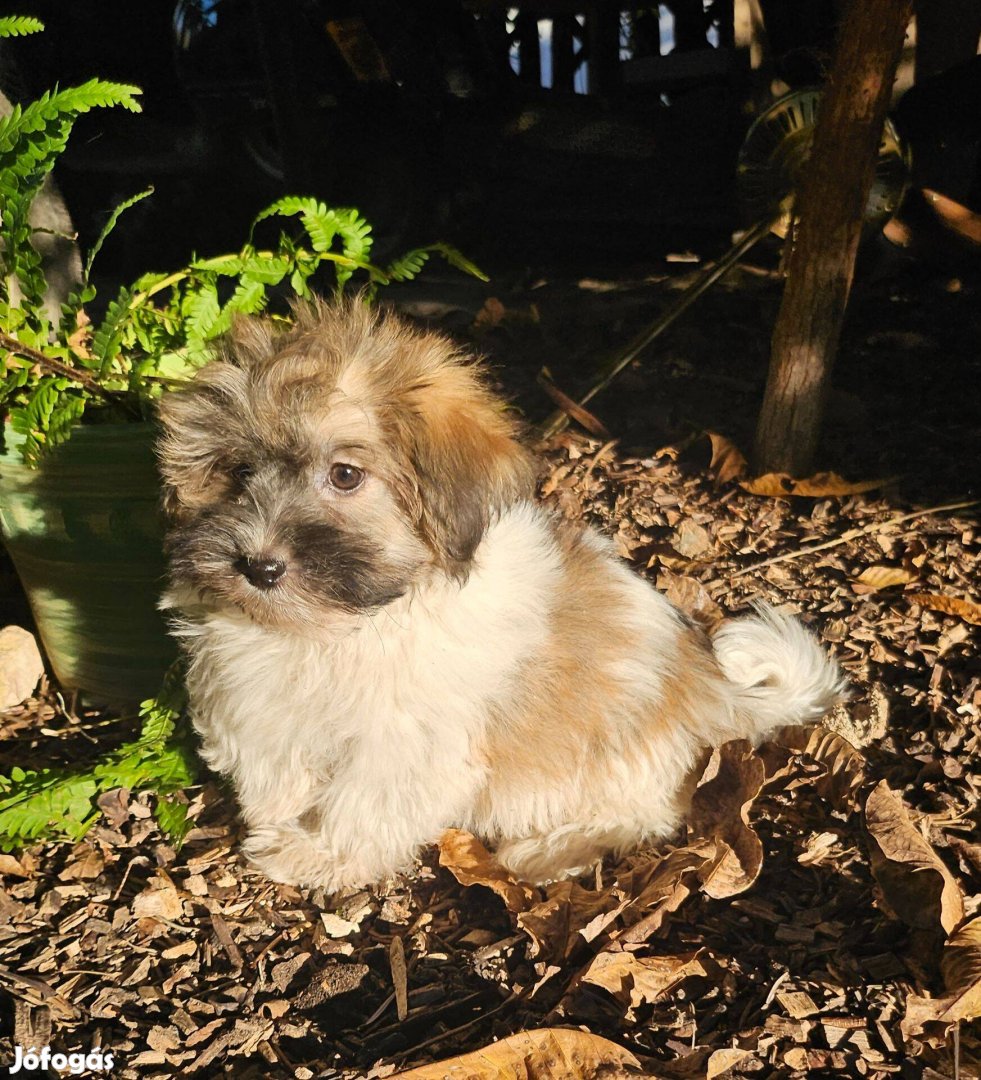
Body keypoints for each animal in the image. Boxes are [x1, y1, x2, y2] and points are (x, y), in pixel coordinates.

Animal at [156, 300, 847, 889]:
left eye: (345, 475)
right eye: (238, 471)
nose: (259, 566)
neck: (343, 625)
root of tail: (709, 685)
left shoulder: (403, 743)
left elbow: (363, 801)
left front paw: (319, 854)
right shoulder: (261, 706)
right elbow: (274, 767)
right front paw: (282, 827)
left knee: (645, 814)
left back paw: (550, 848)